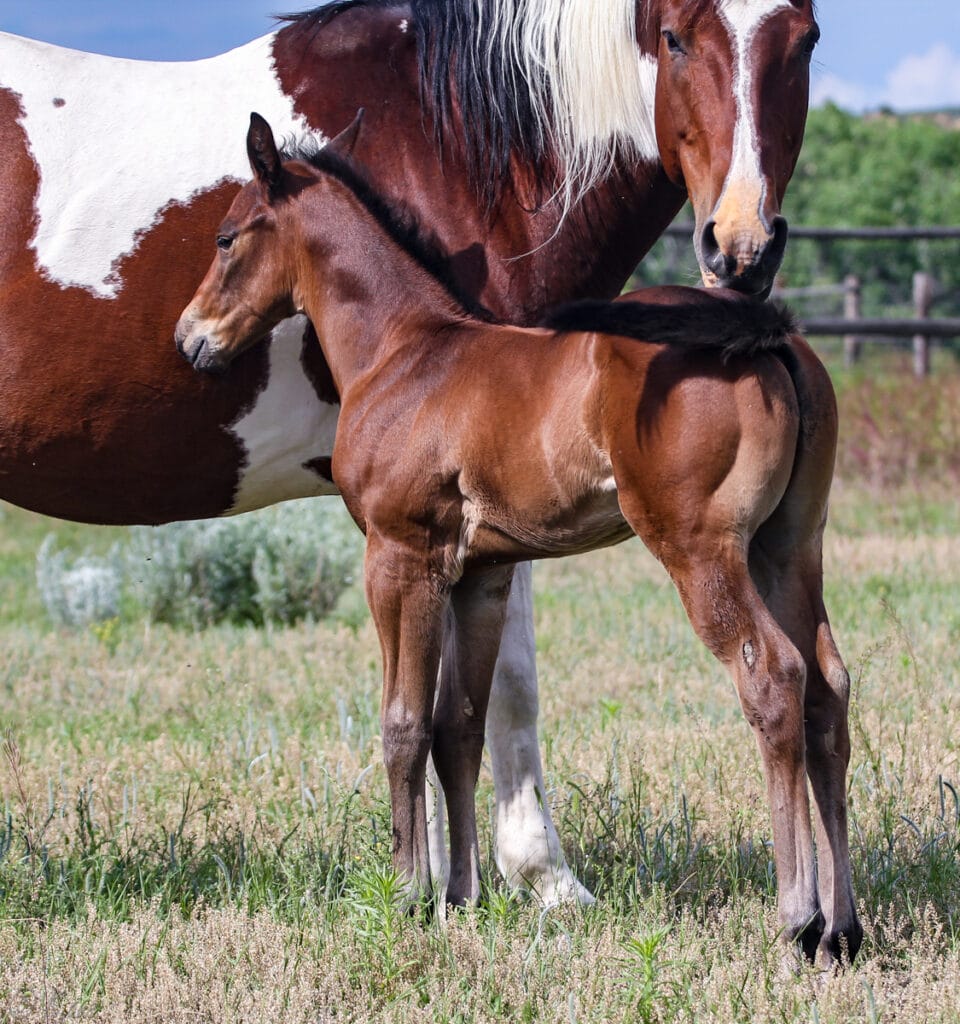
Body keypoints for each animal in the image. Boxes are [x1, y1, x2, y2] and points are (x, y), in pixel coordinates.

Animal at [174, 113, 861, 967]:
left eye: (226, 237)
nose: (189, 338)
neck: (404, 351)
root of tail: (769, 331)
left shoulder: (399, 558)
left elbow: (403, 724)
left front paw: (407, 895)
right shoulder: (481, 574)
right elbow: (458, 727)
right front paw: (461, 898)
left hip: (701, 549)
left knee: (773, 677)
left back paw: (798, 917)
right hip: (788, 546)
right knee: (827, 688)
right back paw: (842, 930)